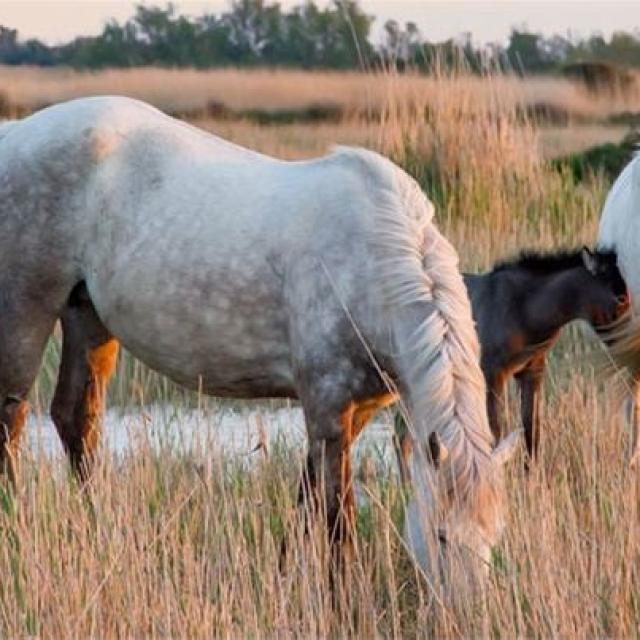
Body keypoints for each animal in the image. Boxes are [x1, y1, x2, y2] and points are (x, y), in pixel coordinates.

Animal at [0, 95, 520, 584]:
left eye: (495, 538)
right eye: (442, 535)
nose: (466, 611)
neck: (374, 263)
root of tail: (15, 134)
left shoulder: (355, 409)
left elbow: (308, 496)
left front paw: (286, 571)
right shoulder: (328, 405)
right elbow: (338, 515)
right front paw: (343, 594)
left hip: (87, 315)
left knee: (76, 419)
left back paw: (103, 530)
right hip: (26, 309)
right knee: (13, 419)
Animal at [396, 248, 632, 472]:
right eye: (620, 299)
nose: (629, 350)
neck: (523, 311)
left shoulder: (532, 373)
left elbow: (531, 430)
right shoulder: (492, 375)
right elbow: (495, 432)